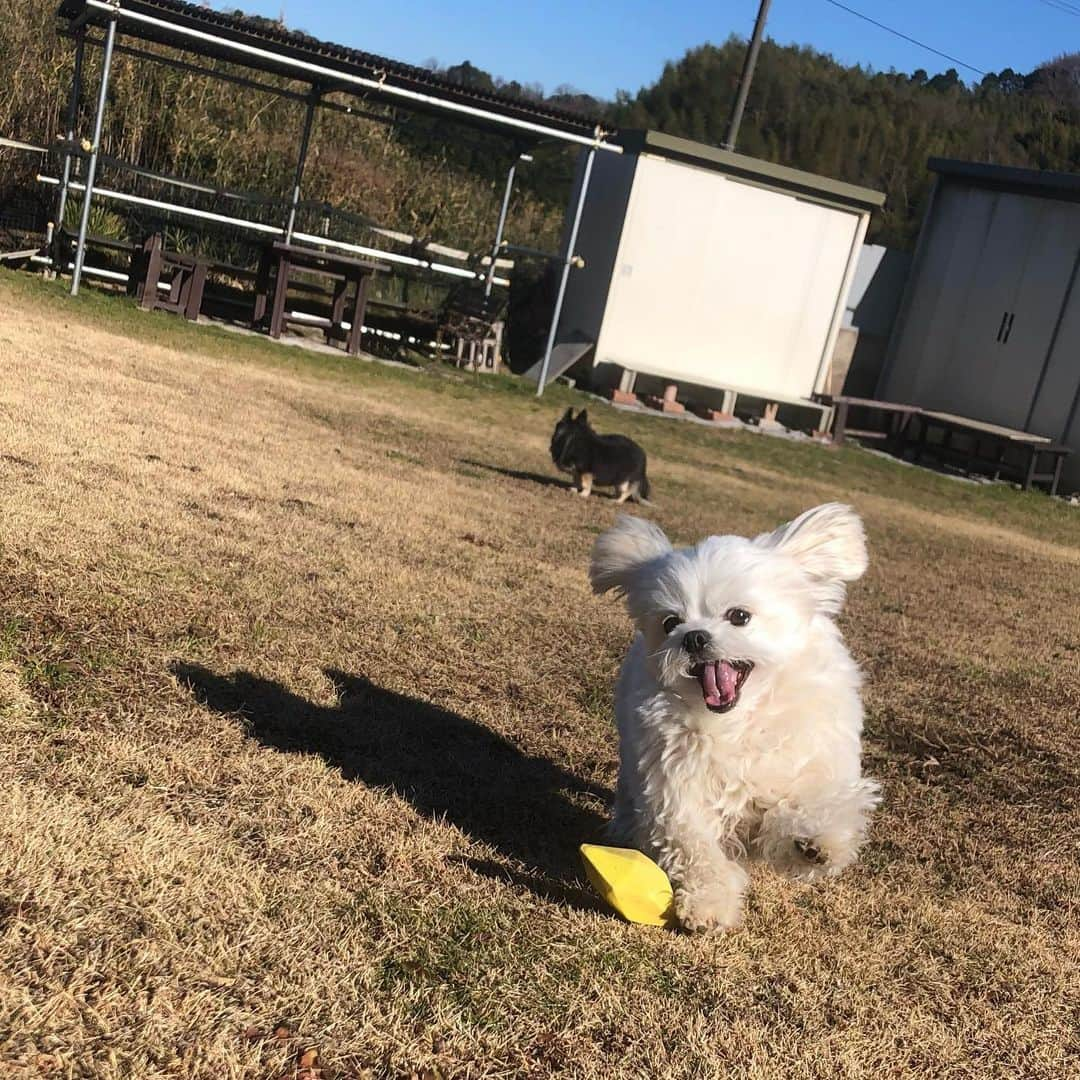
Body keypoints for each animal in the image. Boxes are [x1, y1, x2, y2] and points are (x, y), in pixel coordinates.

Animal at [591, 501, 876, 933]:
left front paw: (815, 841)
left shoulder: (811, 761)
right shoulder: (675, 786)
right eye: (671, 622)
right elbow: (693, 849)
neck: (743, 719)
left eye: (739, 616)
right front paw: (708, 904)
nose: (694, 637)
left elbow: (817, 802)